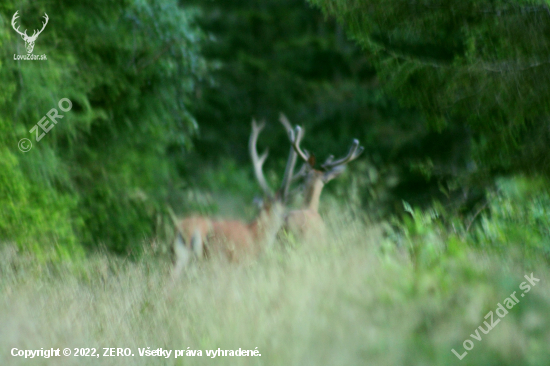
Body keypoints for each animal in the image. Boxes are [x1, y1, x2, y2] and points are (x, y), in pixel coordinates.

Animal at [174, 116, 300, 276]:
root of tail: (187, 230)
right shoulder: (242, 265)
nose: (287, 223)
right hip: (214, 261)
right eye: (284, 210)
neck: (255, 237)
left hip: (180, 259)